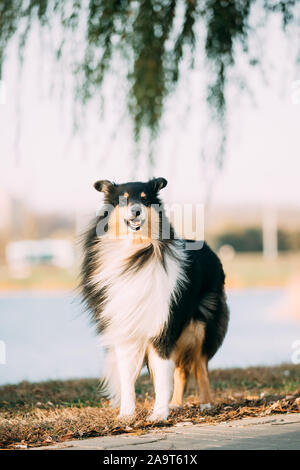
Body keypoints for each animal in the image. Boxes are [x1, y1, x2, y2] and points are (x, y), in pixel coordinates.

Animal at [81, 178, 229, 420]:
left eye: (145, 199)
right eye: (123, 200)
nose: (136, 211)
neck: (135, 253)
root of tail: (208, 248)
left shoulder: (162, 327)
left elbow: (161, 375)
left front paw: (159, 414)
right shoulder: (126, 330)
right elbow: (128, 377)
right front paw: (126, 414)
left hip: (199, 326)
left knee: (199, 366)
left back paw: (206, 404)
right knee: (181, 370)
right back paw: (176, 403)